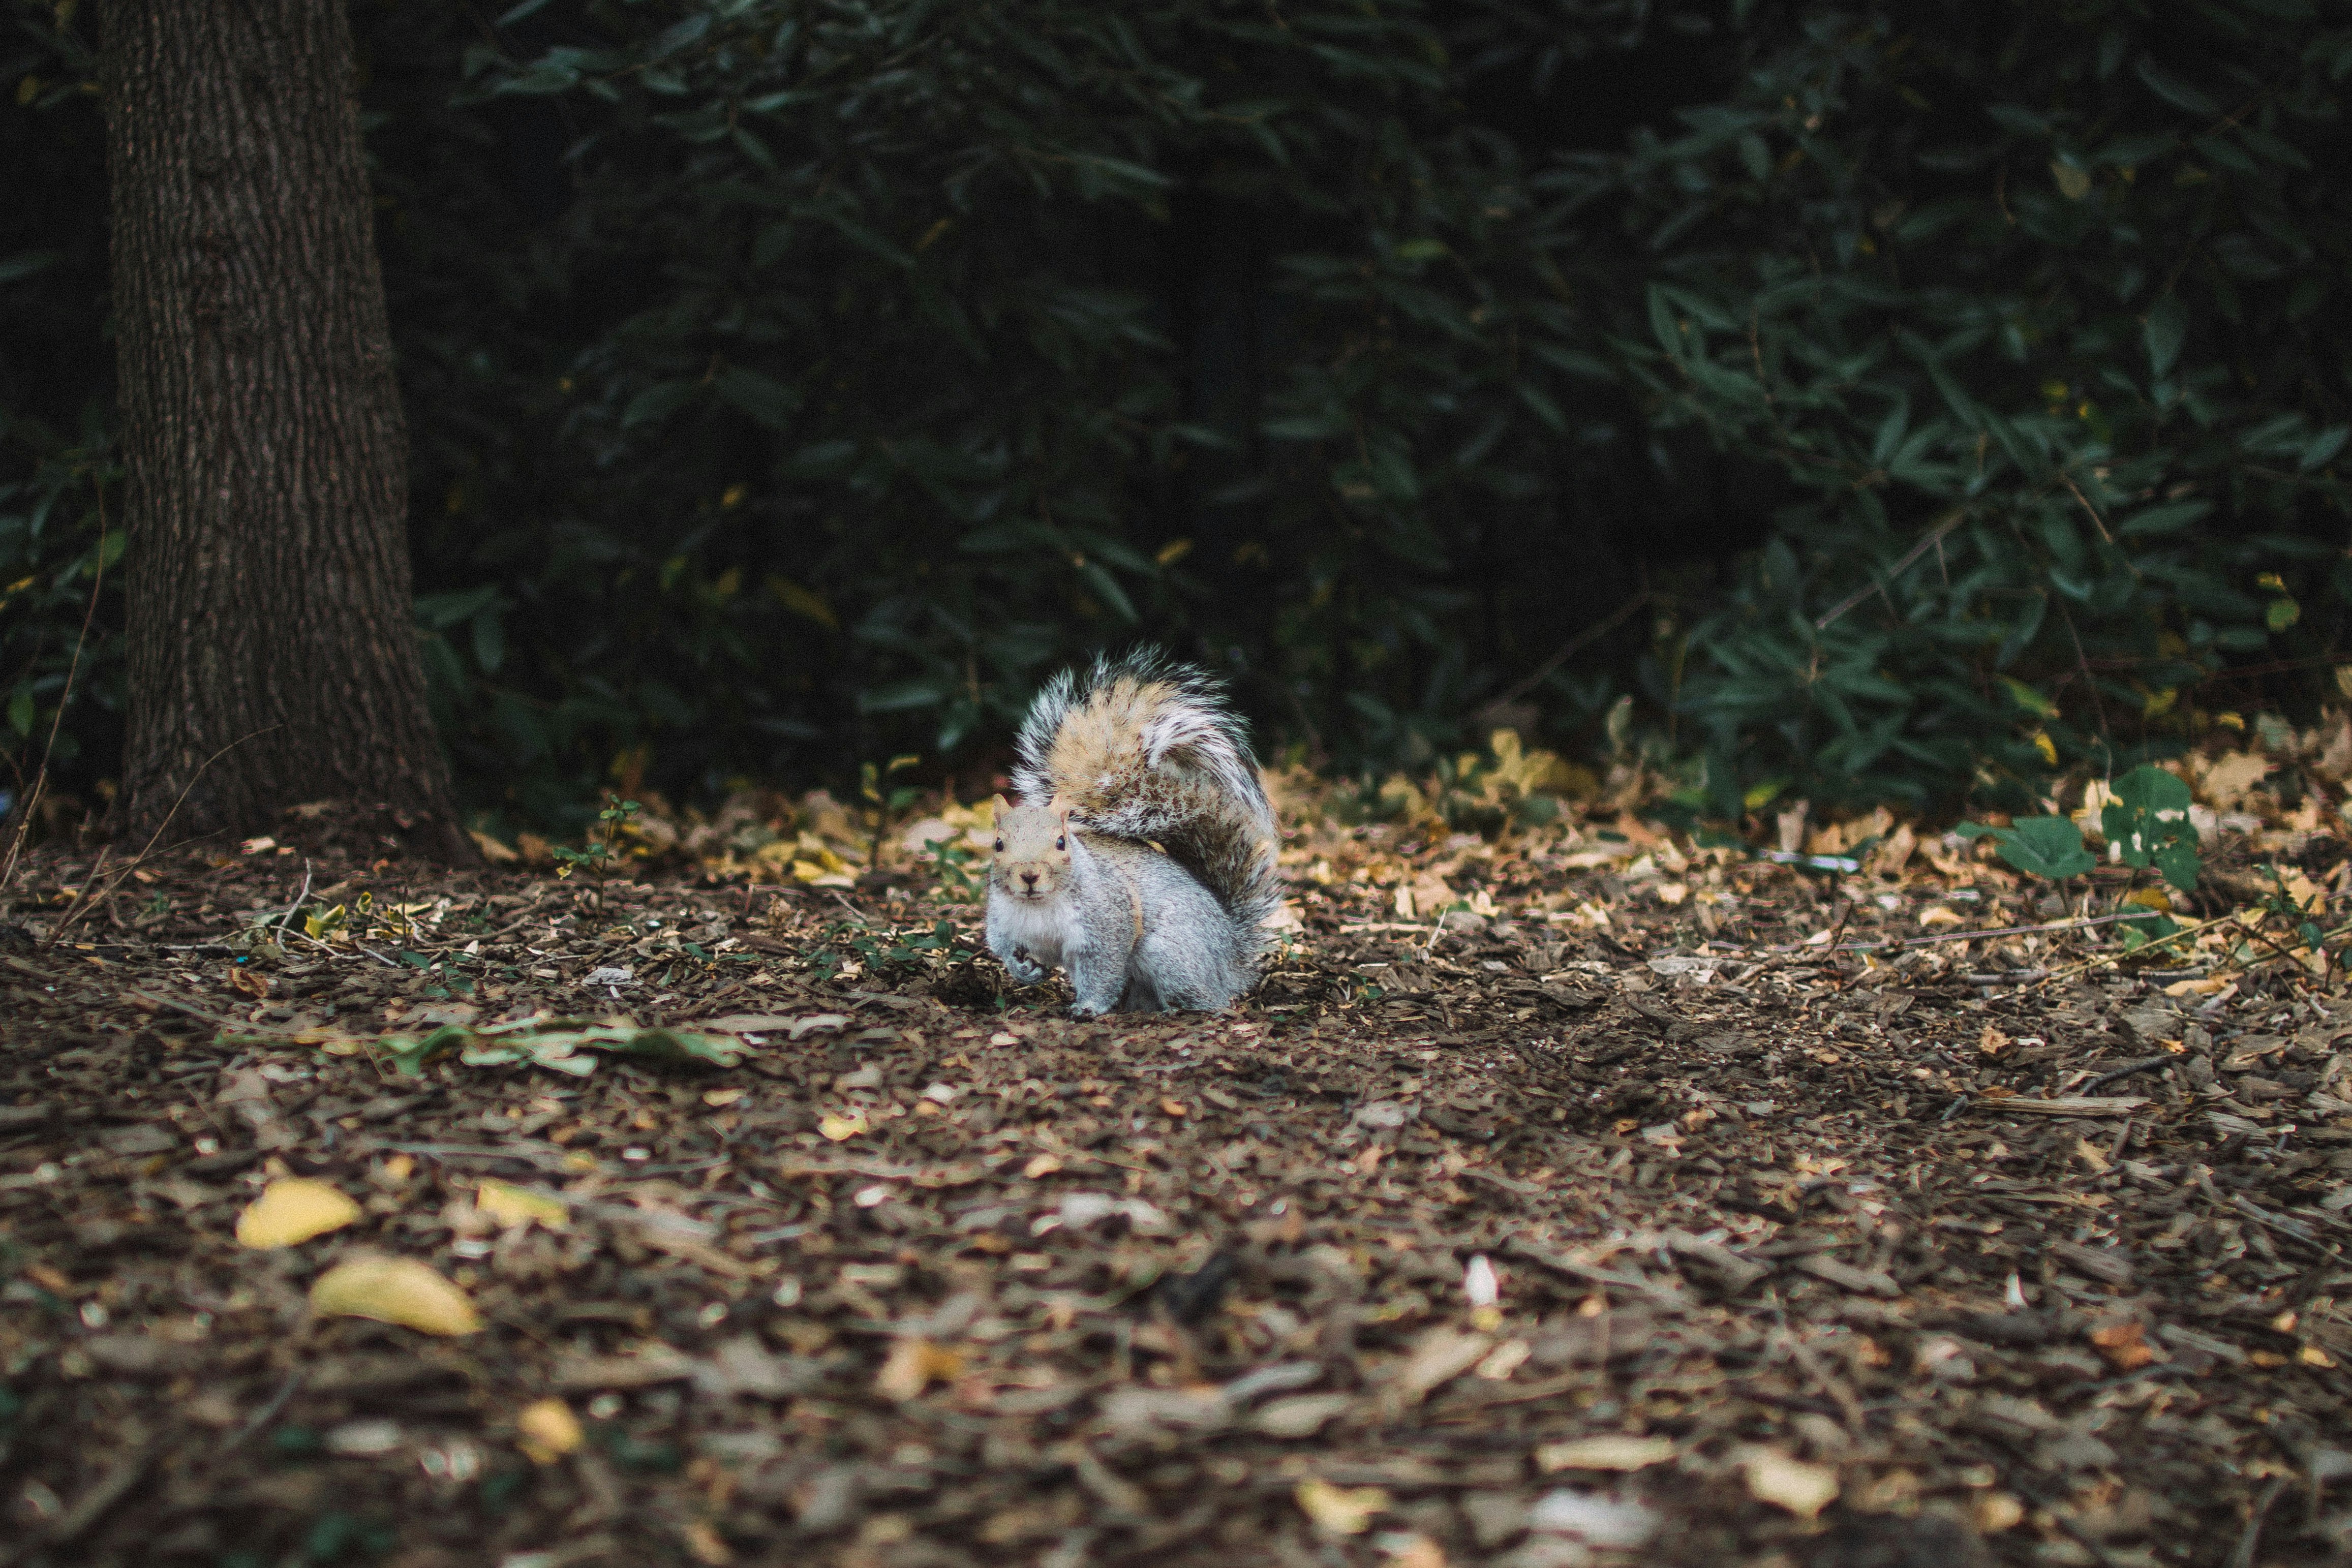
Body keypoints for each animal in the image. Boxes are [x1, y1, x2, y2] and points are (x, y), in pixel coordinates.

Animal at [985, 649, 1281, 1016]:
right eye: (998, 844)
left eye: (1061, 842)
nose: (1029, 875)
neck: (1038, 905)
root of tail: (1231, 957)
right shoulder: (1002, 919)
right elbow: (1002, 947)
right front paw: (1023, 971)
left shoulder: (1109, 919)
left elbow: (1104, 968)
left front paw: (1089, 1006)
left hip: (1172, 954)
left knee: (1209, 999)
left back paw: (1181, 1008)